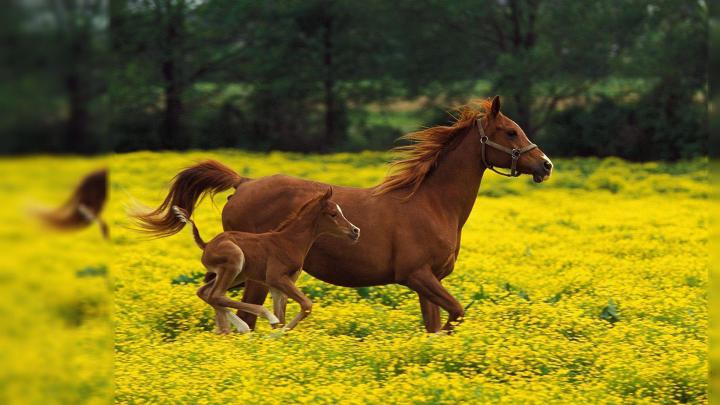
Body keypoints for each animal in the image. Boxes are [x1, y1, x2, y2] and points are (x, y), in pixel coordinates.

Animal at [171, 188, 359, 333]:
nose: (355, 231)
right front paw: (276, 334)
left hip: (237, 274)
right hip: (235, 261)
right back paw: (254, 321)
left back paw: (232, 328)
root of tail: (207, 244)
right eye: (333, 214)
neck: (290, 242)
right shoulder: (275, 278)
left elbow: (283, 316)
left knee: (206, 293)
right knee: (216, 295)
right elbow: (306, 305)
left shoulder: (279, 285)